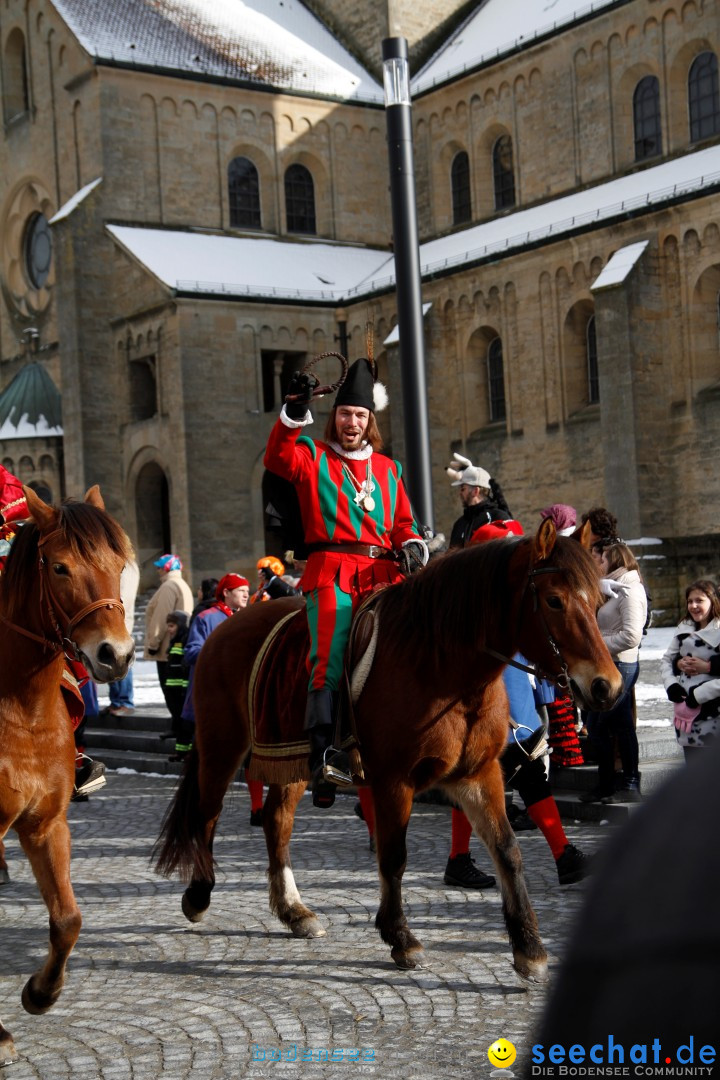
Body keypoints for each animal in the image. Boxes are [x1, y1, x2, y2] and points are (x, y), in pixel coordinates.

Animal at [153, 522, 621, 980]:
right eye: (555, 600)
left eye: (600, 600)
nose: (607, 686)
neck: (443, 665)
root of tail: (226, 626)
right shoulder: (394, 780)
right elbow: (394, 856)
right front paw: (400, 937)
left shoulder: (478, 774)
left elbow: (507, 850)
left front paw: (528, 946)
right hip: (222, 745)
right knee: (207, 813)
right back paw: (199, 894)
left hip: (291, 758)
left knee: (276, 821)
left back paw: (293, 911)